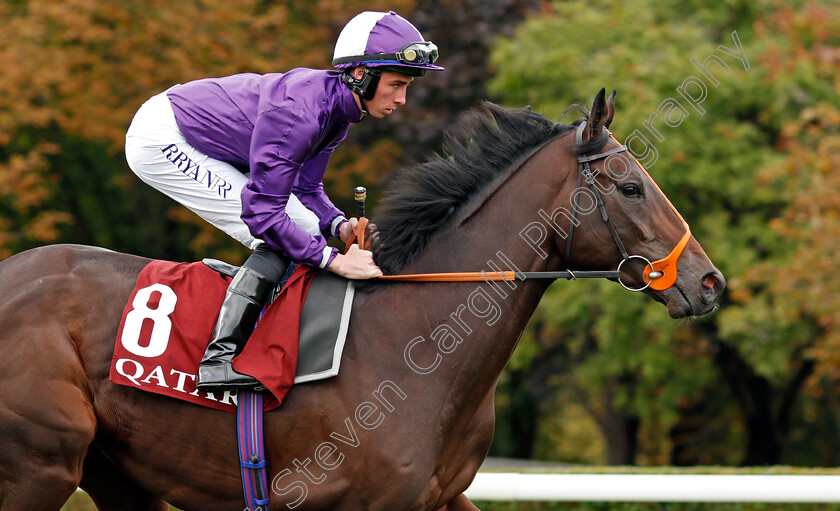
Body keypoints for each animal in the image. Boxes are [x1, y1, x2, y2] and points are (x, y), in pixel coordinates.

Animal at [0, 90, 720, 510]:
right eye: (630, 186)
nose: (708, 281)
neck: (417, 340)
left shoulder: (441, 497)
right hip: (40, 462)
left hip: (115, 471)